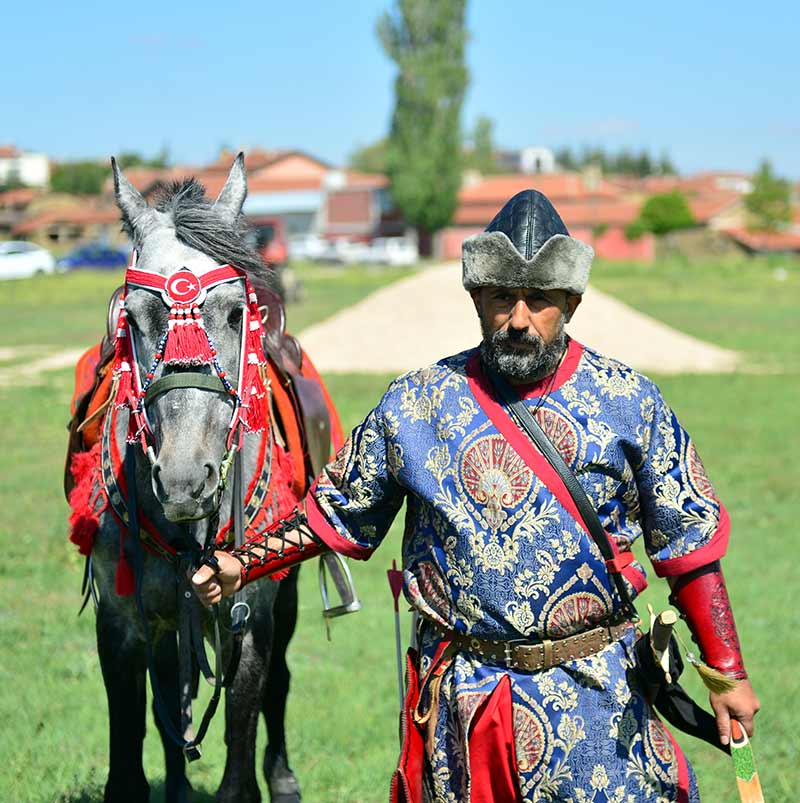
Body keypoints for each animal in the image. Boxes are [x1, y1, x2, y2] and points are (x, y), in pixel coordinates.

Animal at [66, 157, 332, 803]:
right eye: (133, 317)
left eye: (236, 312)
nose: (186, 479)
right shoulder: (122, 620)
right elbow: (142, 723)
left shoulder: (249, 617)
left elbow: (244, 722)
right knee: (172, 693)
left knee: (279, 684)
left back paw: (283, 775)